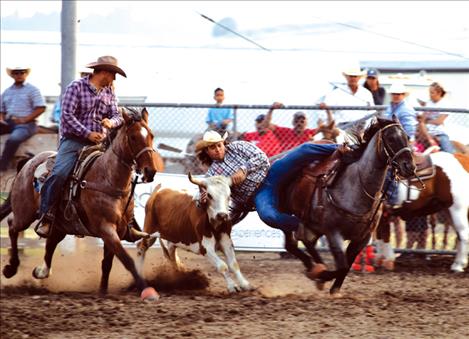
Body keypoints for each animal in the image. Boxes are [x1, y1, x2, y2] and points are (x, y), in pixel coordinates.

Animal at [0, 107, 163, 302]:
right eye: (132, 137)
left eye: (151, 135)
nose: (150, 171)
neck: (107, 178)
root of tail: (28, 163)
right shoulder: (106, 229)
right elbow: (126, 259)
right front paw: (148, 290)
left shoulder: (117, 230)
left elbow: (107, 263)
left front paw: (102, 291)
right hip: (25, 213)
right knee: (12, 226)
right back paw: (11, 268)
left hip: (60, 224)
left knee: (50, 243)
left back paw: (41, 271)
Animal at [278, 118, 414, 296]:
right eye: (390, 139)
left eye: (406, 137)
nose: (409, 167)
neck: (356, 186)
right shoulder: (333, 233)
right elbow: (342, 265)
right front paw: (323, 276)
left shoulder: (362, 239)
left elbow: (347, 265)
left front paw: (333, 287)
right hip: (285, 213)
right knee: (292, 244)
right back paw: (315, 270)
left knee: (306, 242)